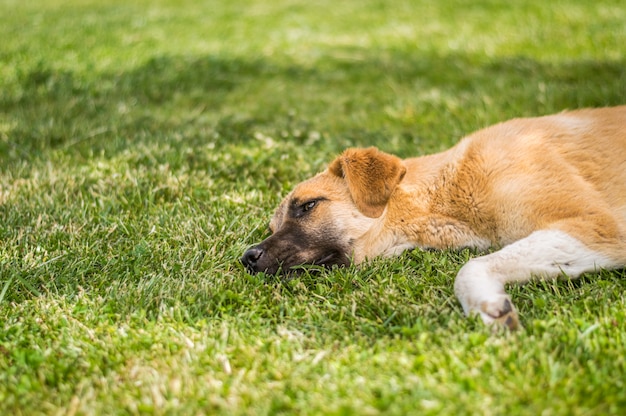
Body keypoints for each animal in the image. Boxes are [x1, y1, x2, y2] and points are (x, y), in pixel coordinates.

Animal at [241, 106, 624, 328]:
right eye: (272, 226)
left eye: (308, 206)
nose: (247, 257)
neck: (446, 189)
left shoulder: (594, 226)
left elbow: (469, 268)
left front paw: (487, 304)